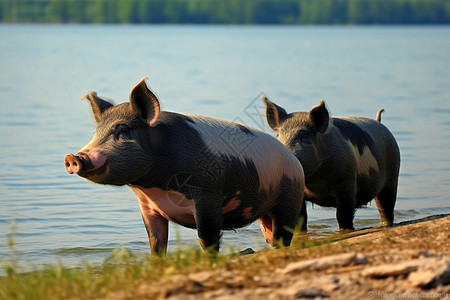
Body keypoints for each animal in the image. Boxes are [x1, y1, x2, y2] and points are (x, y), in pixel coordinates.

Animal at [63, 78, 304, 255]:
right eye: (96, 132)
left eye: (122, 130)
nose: (74, 157)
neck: (154, 186)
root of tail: (293, 159)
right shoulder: (147, 206)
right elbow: (156, 242)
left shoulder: (208, 194)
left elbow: (207, 238)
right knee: (270, 235)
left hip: (289, 198)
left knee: (283, 235)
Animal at [262, 97, 400, 231]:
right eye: (278, 134)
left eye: (305, 135)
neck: (315, 182)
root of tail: (379, 122)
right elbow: (300, 220)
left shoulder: (347, 181)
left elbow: (343, 215)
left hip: (392, 176)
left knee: (386, 206)